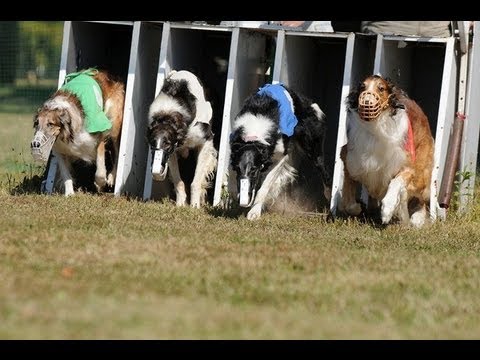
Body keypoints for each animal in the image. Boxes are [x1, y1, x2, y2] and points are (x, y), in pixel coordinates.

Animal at [146, 70, 218, 208]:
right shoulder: (172, 152)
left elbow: (196, 181)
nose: (157, 171)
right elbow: (178, 181)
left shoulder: (206, 140)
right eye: (152, 144)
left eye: (167, 144)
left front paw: (194, 205)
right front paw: (180, 204)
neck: (167, 116)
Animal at [231, 83, 332, 219]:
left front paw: (254, 212)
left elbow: (265, 185)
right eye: (237, 168)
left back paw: (329, 195)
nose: (243, 202)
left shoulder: (281, 157)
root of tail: (306, 102)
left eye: (253, 170)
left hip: (312, 147)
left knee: (323, 170)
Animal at [342, 75, 436, 228]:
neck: (376, 128)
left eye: (381, 88)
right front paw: (357, 207)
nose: (366, 102)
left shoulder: (407, 167)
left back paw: (417, 219)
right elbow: (348, 202)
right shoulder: (350, 161)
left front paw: (387, 211)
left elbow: (395, 183)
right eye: (362, 87)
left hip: (421, 174)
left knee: (420, 198)